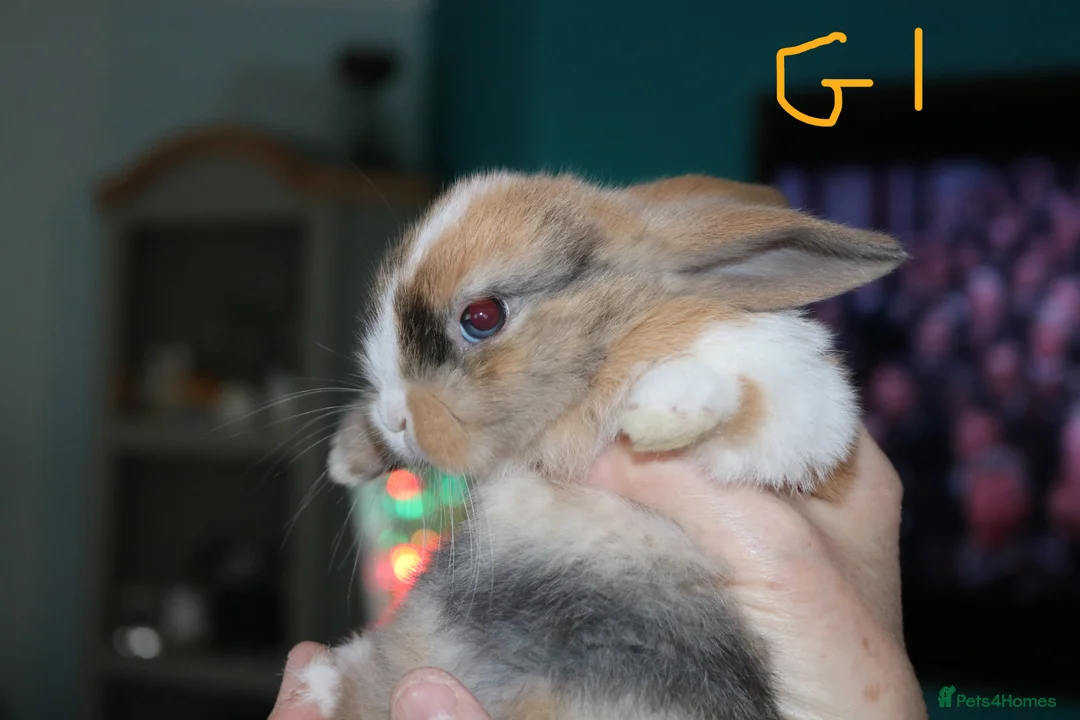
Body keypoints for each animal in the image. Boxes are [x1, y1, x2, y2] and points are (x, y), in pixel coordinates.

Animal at [300, 171, 908, 720]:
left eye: (482, 317)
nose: (393, 416)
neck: (617, 330)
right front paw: (347, 456)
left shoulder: (804, 413)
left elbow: (753, 398)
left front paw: (654, 412)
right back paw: (322, 678)